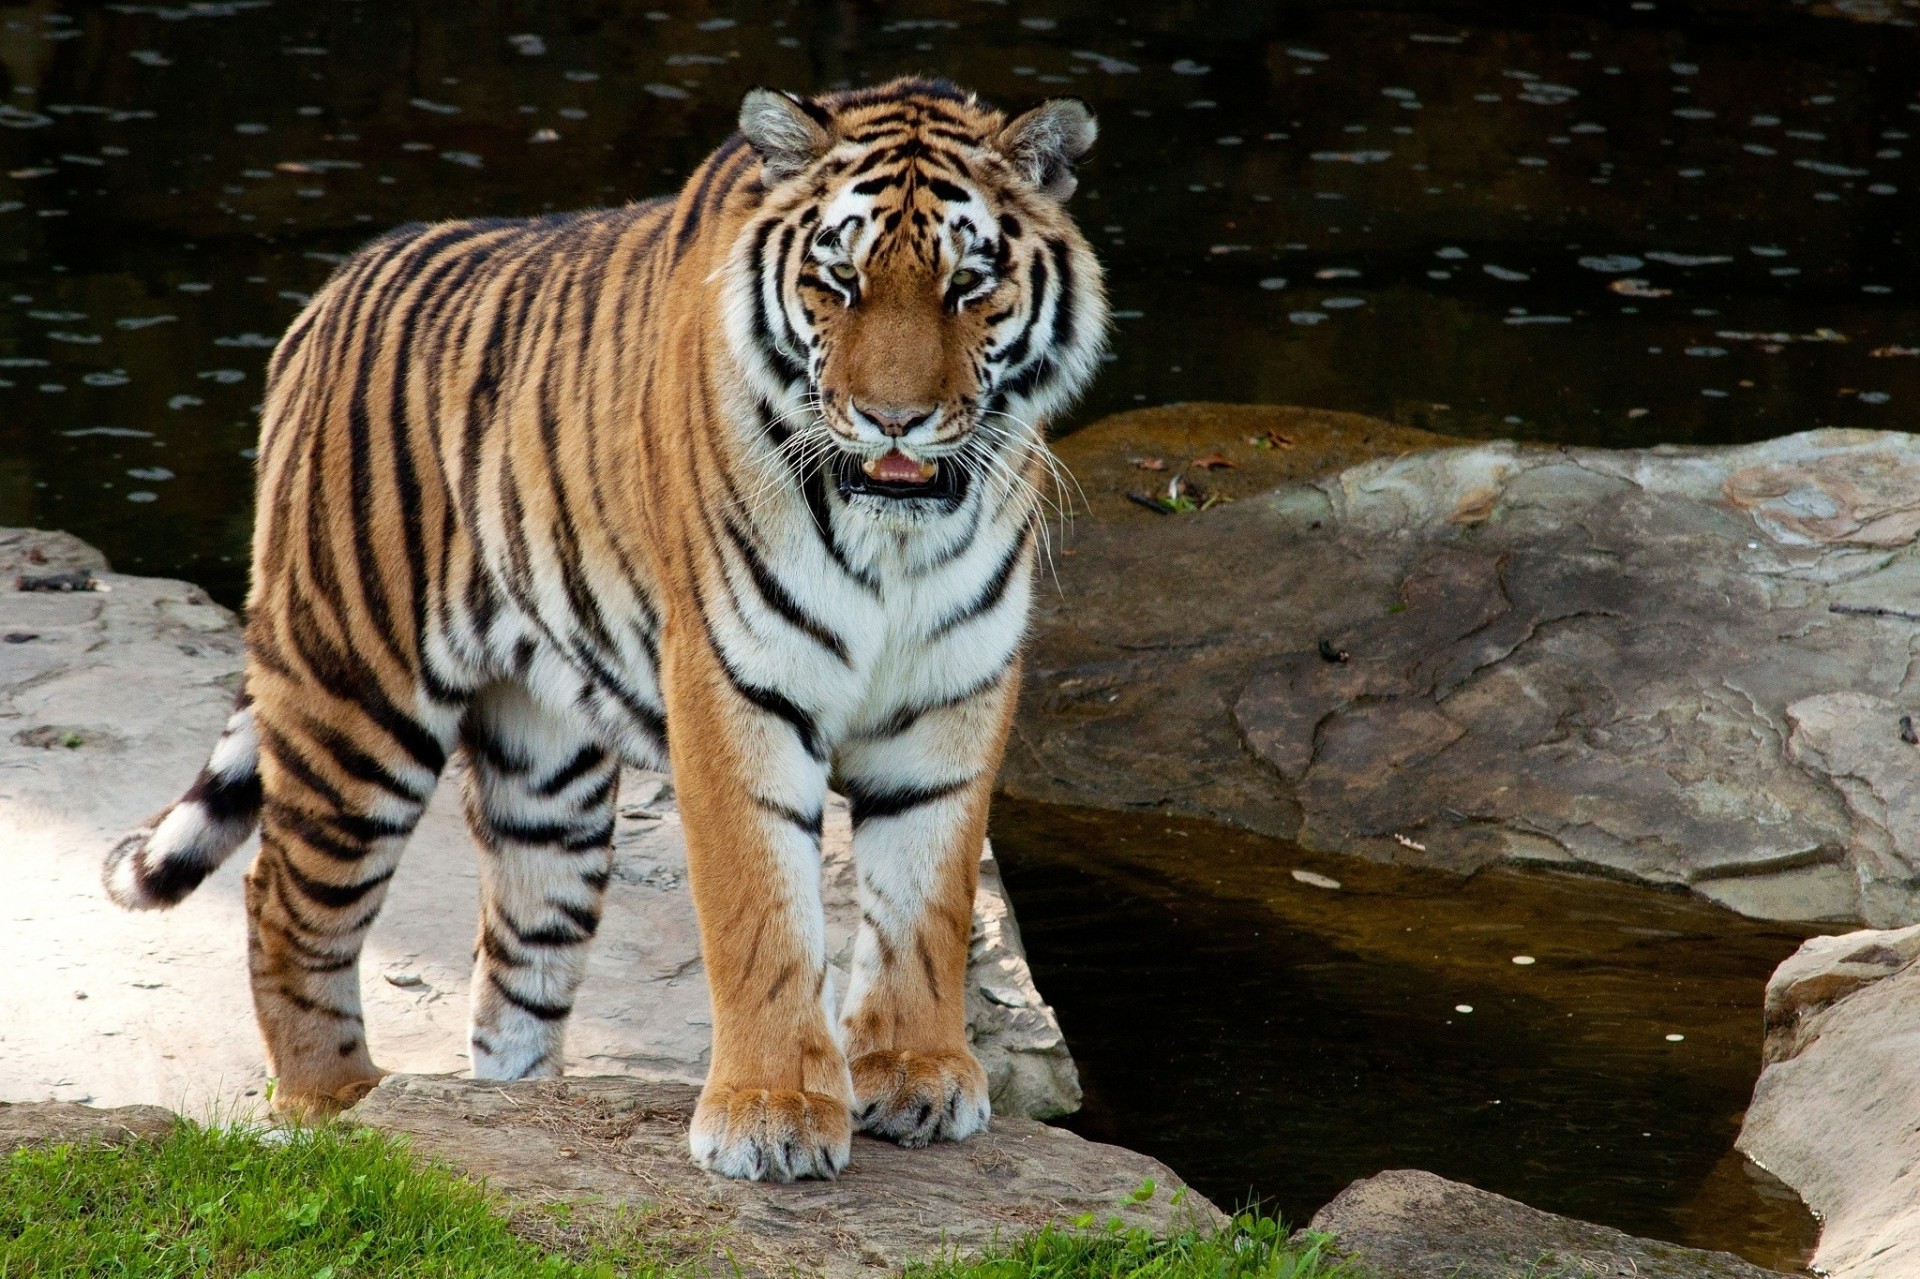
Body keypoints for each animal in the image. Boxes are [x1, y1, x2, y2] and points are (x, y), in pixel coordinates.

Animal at [101, 76, 1106, 1181]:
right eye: (838, 281)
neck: (894, 539)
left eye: (969, 286)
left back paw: (512, 1116)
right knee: (284, 903)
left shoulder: (954, 686)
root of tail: (327, 297)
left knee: (513, 969)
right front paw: (772, 1113)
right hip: (356, 700)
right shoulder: (734, 682)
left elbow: (928, 894)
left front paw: (916, 1074)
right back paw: (341, 1108)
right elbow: (763, 908)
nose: (894, 421)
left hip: (547, 777)